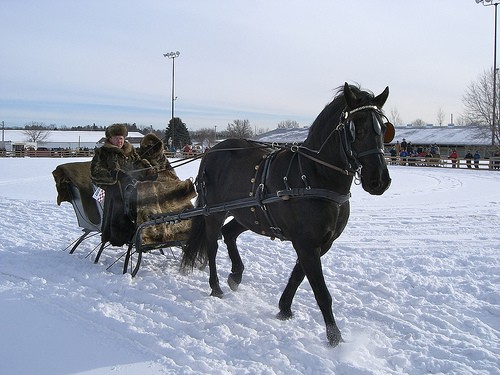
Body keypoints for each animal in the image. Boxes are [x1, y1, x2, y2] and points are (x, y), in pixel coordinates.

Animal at [181, 83, 394, 348]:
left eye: (384, 129)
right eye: (357, 128)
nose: (379, 180)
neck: (315, 175)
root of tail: (212, 151)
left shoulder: (319, 244)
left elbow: (297, 276)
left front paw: (284, 309)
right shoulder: (306, 244)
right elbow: (321, 292)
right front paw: (334, 337)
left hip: (248, 213)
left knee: (229, 233)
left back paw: (236, 275)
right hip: (214, 212)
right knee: (212, 245)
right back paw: (216, 287)